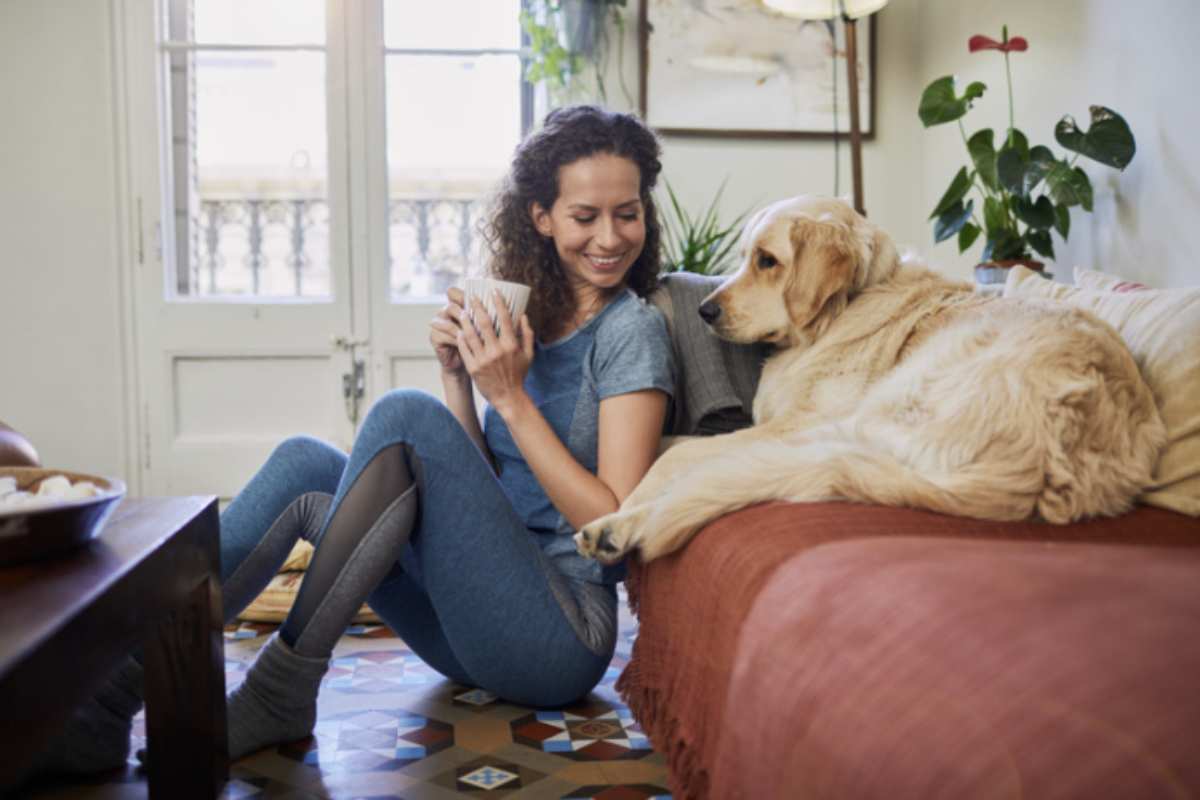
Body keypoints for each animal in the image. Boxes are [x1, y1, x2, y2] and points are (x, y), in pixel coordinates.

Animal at [576, 195, 1166, 563]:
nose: (704, 311)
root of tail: (1039, 464)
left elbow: (681, 455)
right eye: (744, 258)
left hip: (866, 417)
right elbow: (679, 443)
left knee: (720, 472)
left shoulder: (794, 424)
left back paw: (617, 528)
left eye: (767, 261)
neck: (843, 309)